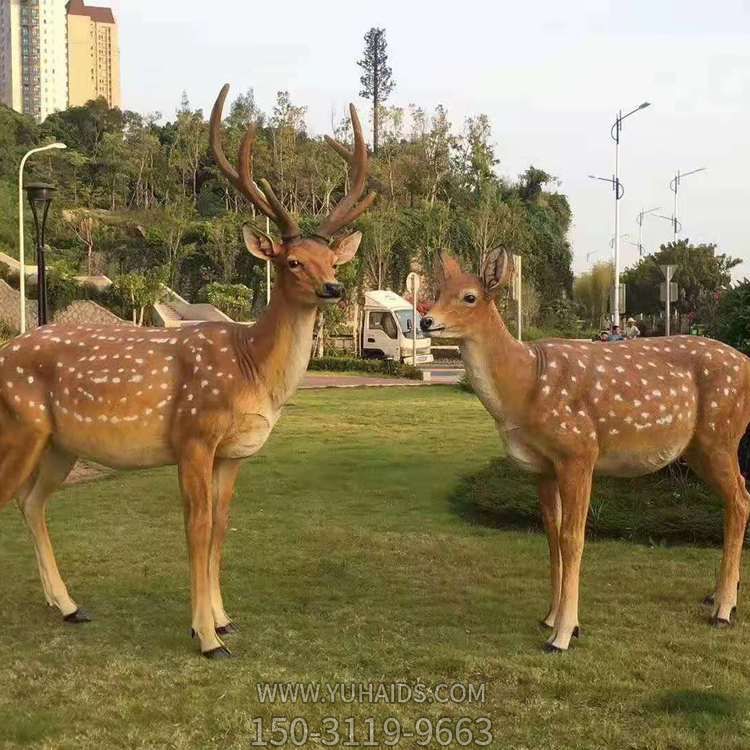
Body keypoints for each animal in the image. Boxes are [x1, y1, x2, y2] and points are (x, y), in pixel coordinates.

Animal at [0, 84, 376, 659]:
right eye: (291, 262)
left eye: (333, 260)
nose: (333, 288)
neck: (250, 366)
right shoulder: (194, 435)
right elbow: (196, 528)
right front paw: (205, 636)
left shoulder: (233, 454)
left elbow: (221, 527)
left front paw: (224, 619)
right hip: (18, 423)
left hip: (59, 443)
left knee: (32, 500)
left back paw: (68, 605)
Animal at [421, 248, 750, 652]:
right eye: (438, 291)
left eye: (469, 297)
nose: (426, 320)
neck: (525, 386)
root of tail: (747, 363)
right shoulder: (542, 467)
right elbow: (551, 533)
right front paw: (550, 617)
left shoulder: (578, 451)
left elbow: (572, 537)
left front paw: (563, 634)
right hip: (700, 448)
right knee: (735, 498)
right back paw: (717, 596)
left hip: (720, 435)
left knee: (741, 499)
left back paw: (723, 610)